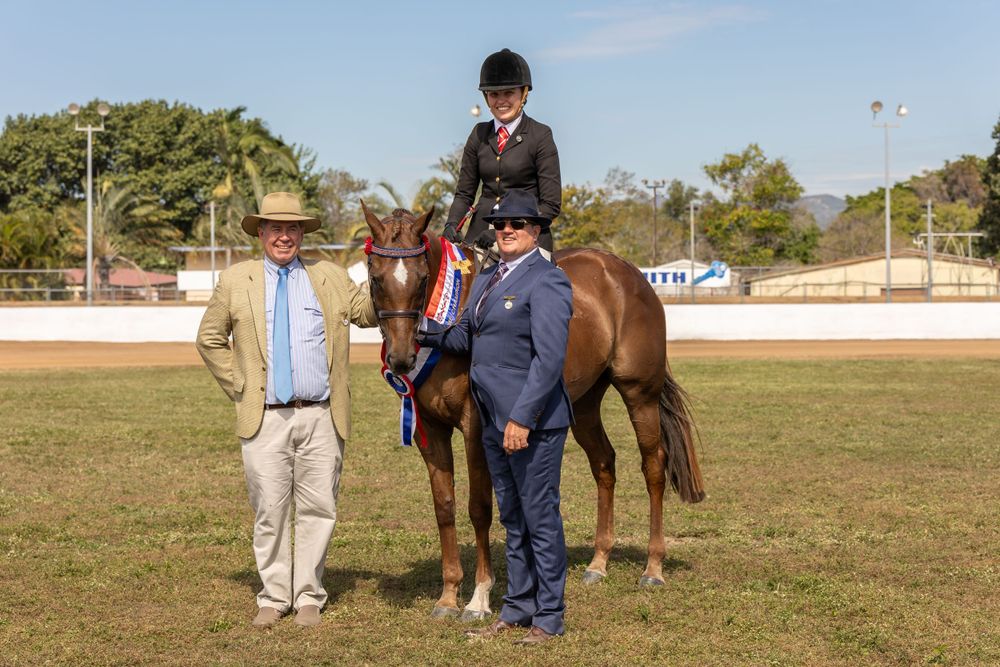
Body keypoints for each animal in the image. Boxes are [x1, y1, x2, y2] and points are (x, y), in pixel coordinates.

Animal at [361, 202, 705, 620]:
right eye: (375, 278)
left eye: (423, 277)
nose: (401, 359)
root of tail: (628, 272)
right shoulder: (431, 427)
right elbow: (444, 507)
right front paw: (448, 595)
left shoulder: (476, 428)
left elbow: (479, 507)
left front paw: (478, 598)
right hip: (583, 404)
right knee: (604, 463)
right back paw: (598, 563)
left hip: (641, 393)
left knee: (653, 465)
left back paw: (653, 568)